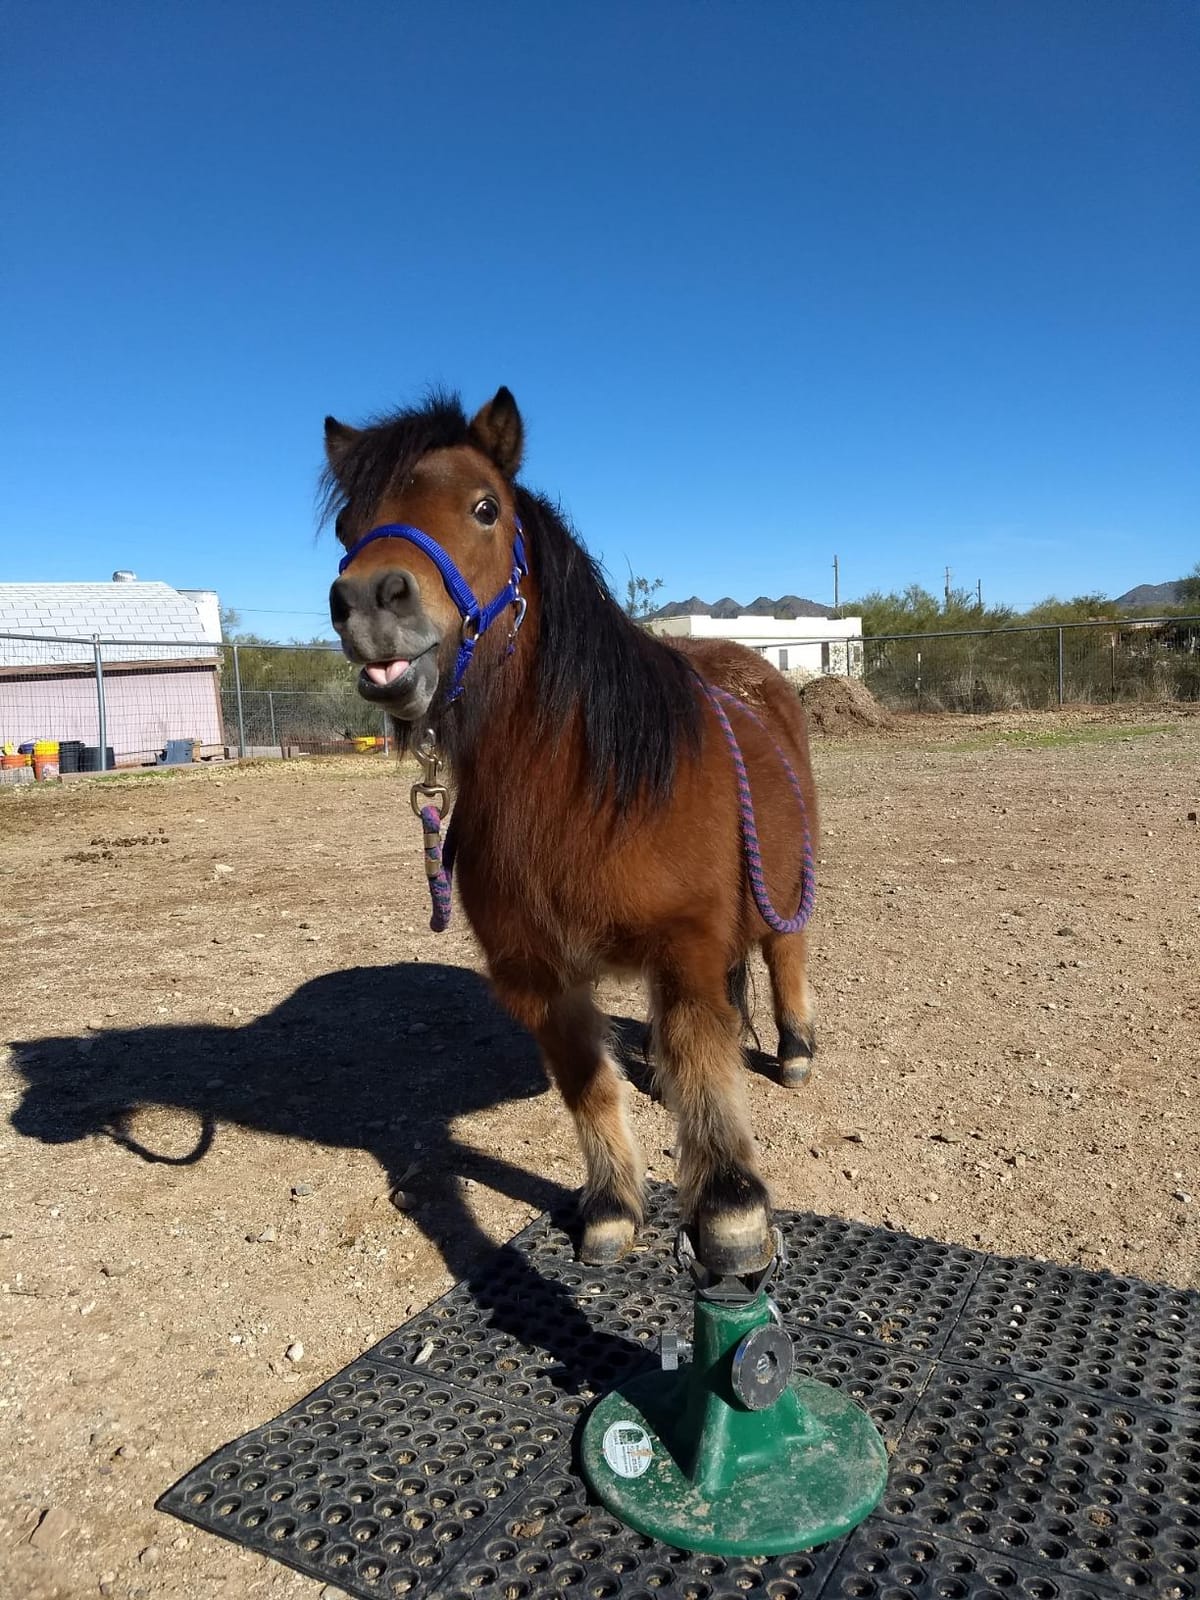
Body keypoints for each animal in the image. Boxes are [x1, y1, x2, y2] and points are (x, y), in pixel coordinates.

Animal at [323, 388, 818, 1277]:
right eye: (349, 523)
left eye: (485, 508)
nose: (370, 600)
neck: (577, 797)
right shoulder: (539, 974)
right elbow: (589, 1085)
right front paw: (613, 1206)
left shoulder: (685, 947)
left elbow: (707, 1074)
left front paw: (731, 1212)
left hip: (786, 884)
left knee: (783, 952)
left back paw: (794, 1050)